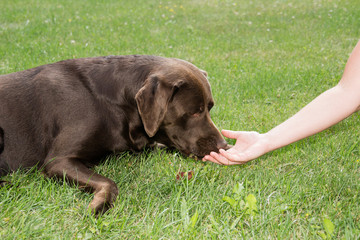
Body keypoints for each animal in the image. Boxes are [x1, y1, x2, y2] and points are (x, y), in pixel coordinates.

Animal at [0, 55, 228, 214]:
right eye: (195, 111)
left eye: (210, 107)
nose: (224, 146)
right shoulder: (58, 160)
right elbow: (109, 183)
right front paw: (98, 205)